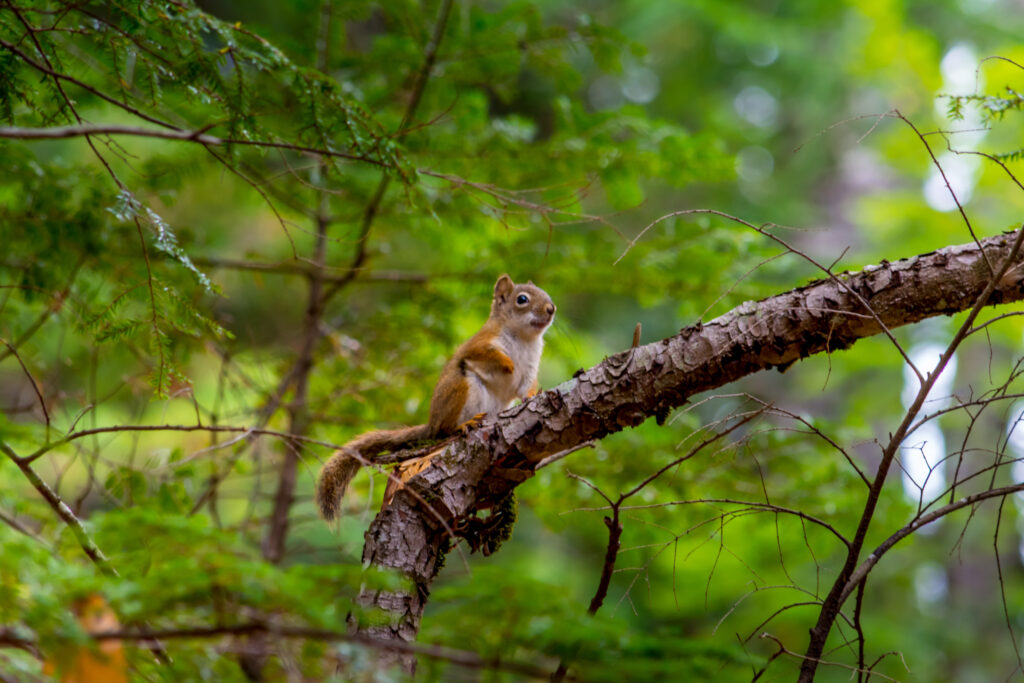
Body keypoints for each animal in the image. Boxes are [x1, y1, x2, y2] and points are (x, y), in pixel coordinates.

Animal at [316, 274, 556, 521]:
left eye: (545, 293)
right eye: (522, 299)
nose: (551, 309)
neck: (524, 338)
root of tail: (432, 422)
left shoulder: (529, 369)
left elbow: (526, 388)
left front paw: (534, 396)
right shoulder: (480, 343)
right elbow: (482, 353)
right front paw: (507, 364)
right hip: (461, 386)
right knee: (446, 429)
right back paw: (463, 425)